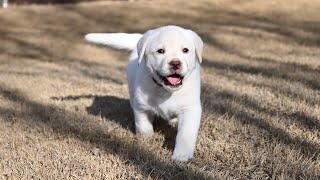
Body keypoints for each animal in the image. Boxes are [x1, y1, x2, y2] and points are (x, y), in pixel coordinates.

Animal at [85, 25, 204, 162]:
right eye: (160, 51)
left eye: (185, 50)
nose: (175, 63)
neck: (165, 90)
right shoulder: (141, 106)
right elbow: (143, 125)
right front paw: (146, 139)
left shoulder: (190, 108)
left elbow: (185, 133)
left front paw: (181, 155)